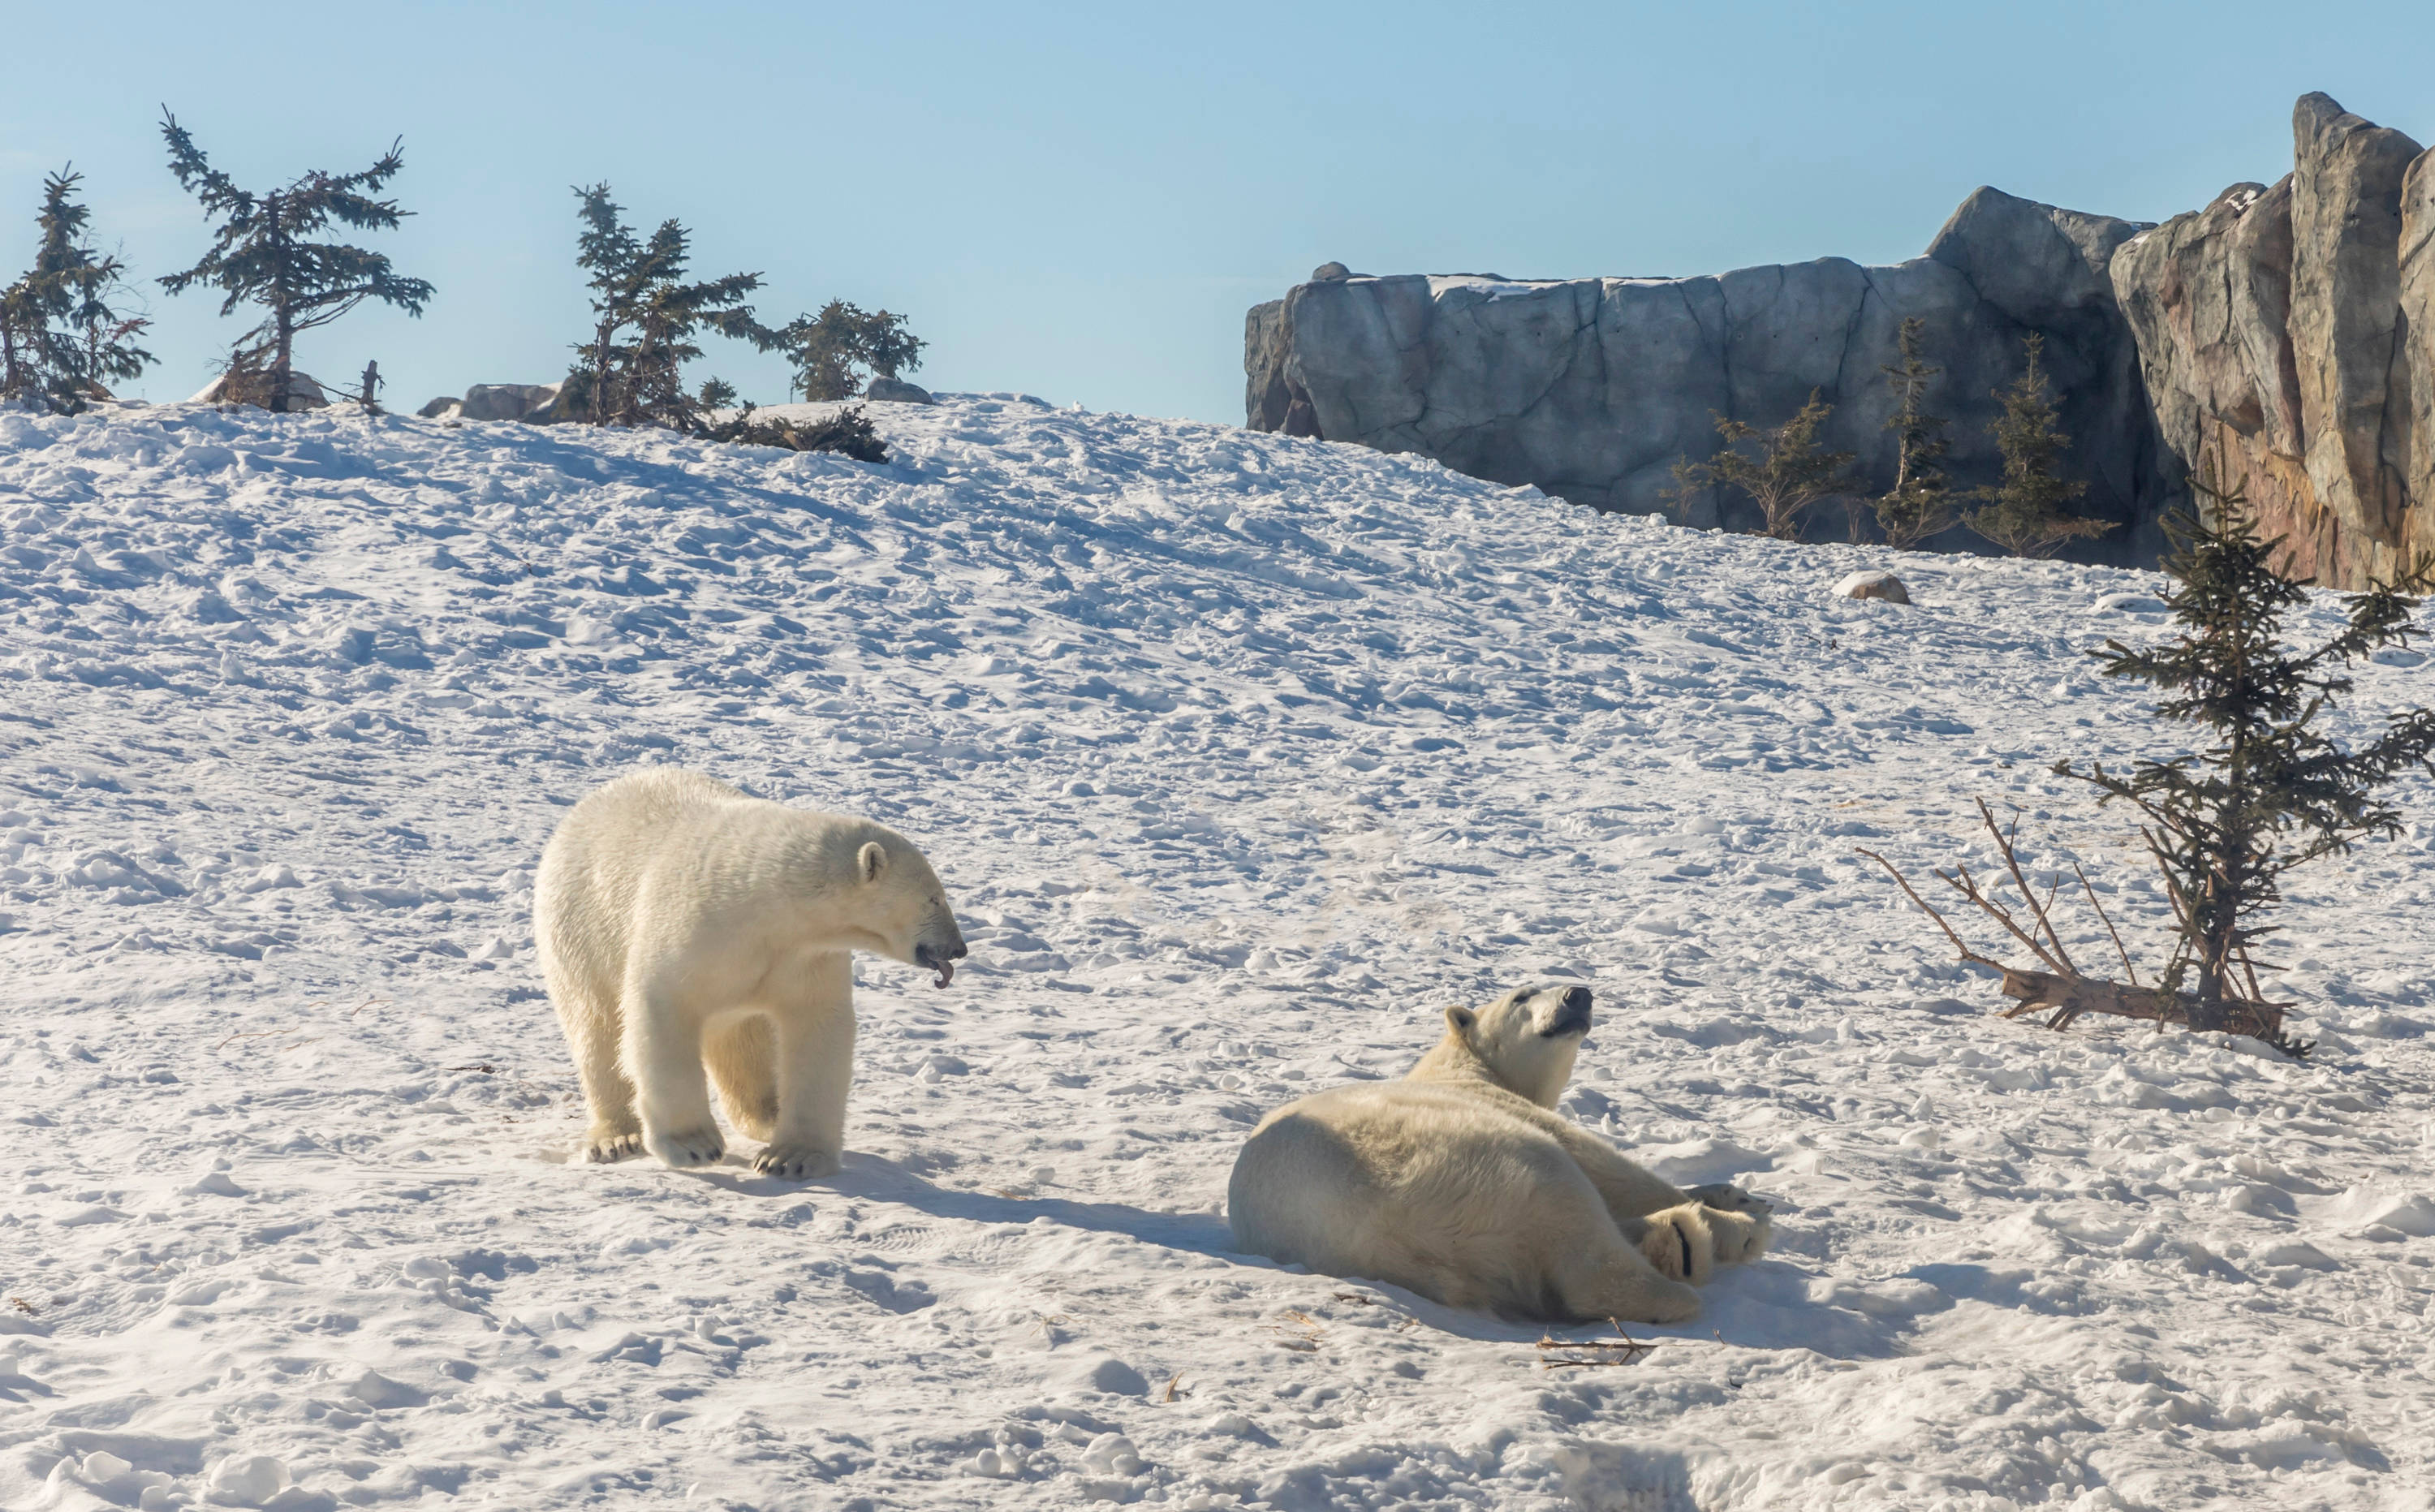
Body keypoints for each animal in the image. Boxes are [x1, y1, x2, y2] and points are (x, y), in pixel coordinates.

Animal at [533, 768, 967, 1178]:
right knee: (597, 1029)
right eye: (934, 898)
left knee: (743, 1042)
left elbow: (817, 1027)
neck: (764, 899)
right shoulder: (693, 929)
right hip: (581, 931)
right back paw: (616, 1137)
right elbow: (662, 1011)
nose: (958, 948)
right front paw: (694, 1146)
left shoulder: (805, 956)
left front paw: (793, 1158)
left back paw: (768, 1115)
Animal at [1225, 982, 1770, 1323]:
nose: (1578, 994)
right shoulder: (1495, 1105)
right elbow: (1606, 1166)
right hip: (1471, 1162)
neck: (1459, 1066)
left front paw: (1728, 1195)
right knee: (1579, 1231)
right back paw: (1691, 1251)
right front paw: (1741, 1210)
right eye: (1521, 995)